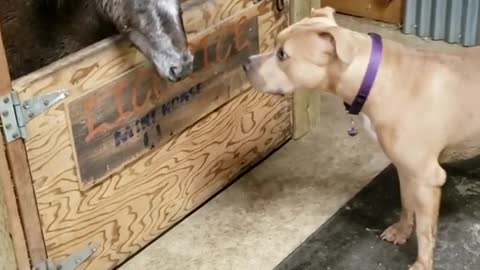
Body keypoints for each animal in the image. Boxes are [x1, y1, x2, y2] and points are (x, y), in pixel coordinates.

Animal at [244, 5, 480, 270]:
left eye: (283, 55)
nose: (245, 63)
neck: (374, 77)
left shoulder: (427, 177)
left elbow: (425, 230)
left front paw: (422, 263)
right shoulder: (405, 168)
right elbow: (407, 202)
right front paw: (401, 231)